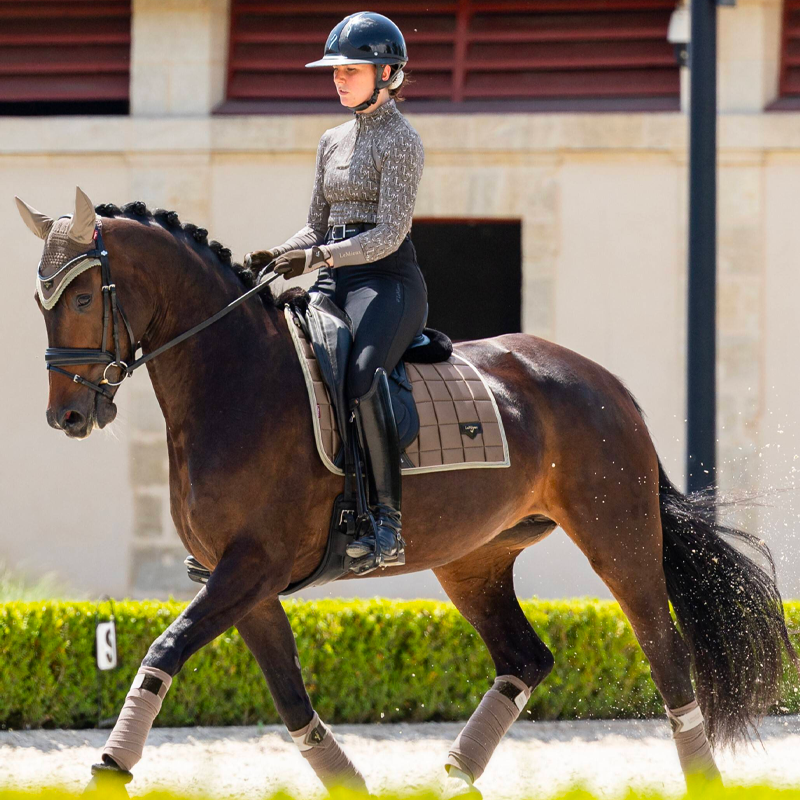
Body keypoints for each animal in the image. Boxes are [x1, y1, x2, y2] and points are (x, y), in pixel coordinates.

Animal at [15, 186, 796, 792]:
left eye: (80, 296)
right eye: (41, 302)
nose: (68, 416)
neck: (235, 377)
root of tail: (603, 383)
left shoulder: (252, 566)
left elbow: (164, 650)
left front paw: (111, 766)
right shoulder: (242, 581)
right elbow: (289, 699)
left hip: (619, 539)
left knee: (665, 654)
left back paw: (700, 777)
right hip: (473, 560)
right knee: (525, 659)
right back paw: (452, 777)